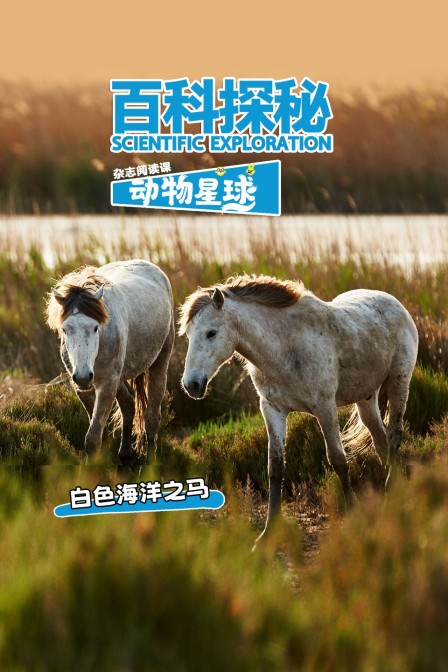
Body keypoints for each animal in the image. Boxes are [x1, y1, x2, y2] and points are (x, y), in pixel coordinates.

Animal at [46, 259, 174, 464]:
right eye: (65, 329)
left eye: (95, 327)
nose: (83, 376)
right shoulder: (85, 389)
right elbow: (98, 433)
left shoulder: (106, 385)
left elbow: (92, 438)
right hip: (118, 377)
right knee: (129, 405)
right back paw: (125, 454)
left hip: (159, 363)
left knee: (151, 417)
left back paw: (150, 462)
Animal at [179, 274, 418, 539]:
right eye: (189, 334)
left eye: (211, 333)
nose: (191, 385)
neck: (284, 347)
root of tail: (394, 303)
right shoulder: (272, 409)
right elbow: (275, 467)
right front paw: (267, 534)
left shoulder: (324, 407)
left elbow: (338, 460)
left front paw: (354, 516)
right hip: (366, 398)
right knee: (381, 442)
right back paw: (392, 493)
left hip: (399, 383)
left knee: (394, 436)